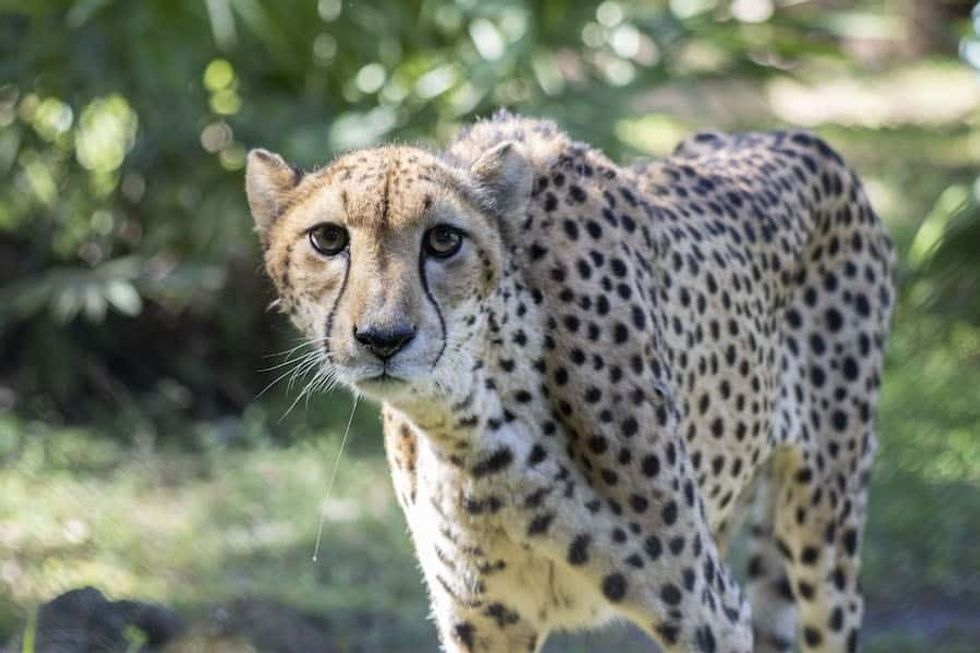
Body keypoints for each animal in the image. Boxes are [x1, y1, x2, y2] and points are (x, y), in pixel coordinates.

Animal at [245, 110, 895, 653]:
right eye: (329, 238)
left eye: (444, 239)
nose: (384, 338)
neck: (478, 424)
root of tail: (791, 135)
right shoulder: (483, 621)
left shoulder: (710, 614)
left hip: (826, 531)